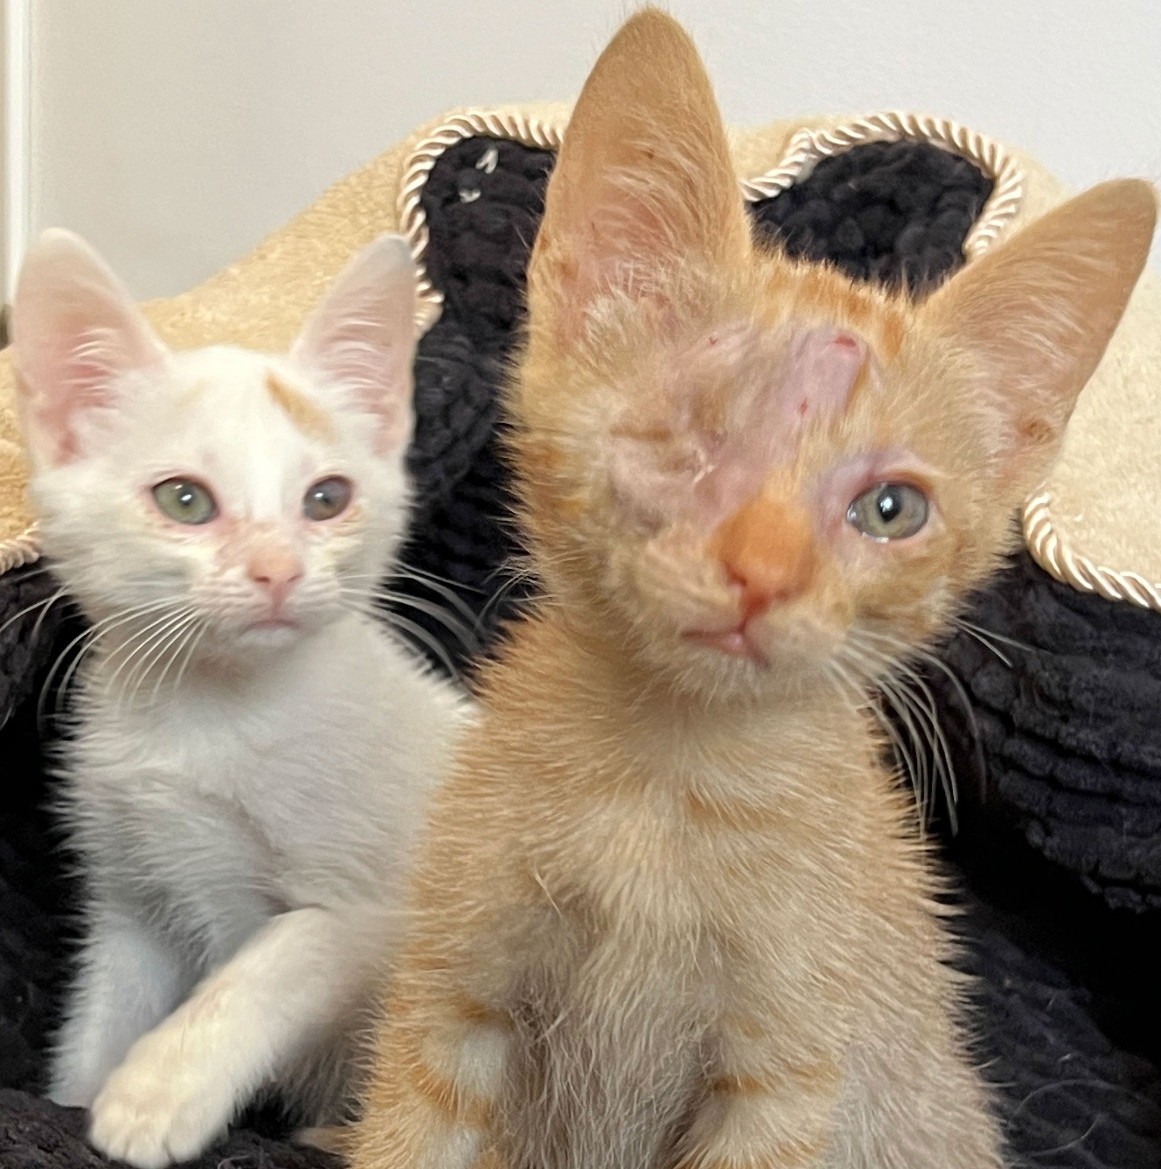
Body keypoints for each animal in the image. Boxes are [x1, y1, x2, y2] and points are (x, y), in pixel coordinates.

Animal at [10, 227, 473, 1169]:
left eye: (327, 498)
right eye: (184, 499)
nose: (278, 569)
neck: (212, 717)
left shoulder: (383, 903)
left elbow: (288, 951)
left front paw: (158, 1091)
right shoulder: (134, 903)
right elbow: (100, 1017)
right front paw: (78, 1100)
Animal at [344, 10, 1156, 1169]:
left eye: (890, 509)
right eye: (688, 439)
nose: (762, 572)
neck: (663, 788)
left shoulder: (785, 1073)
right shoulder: (453, 998)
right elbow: (408, 1133)